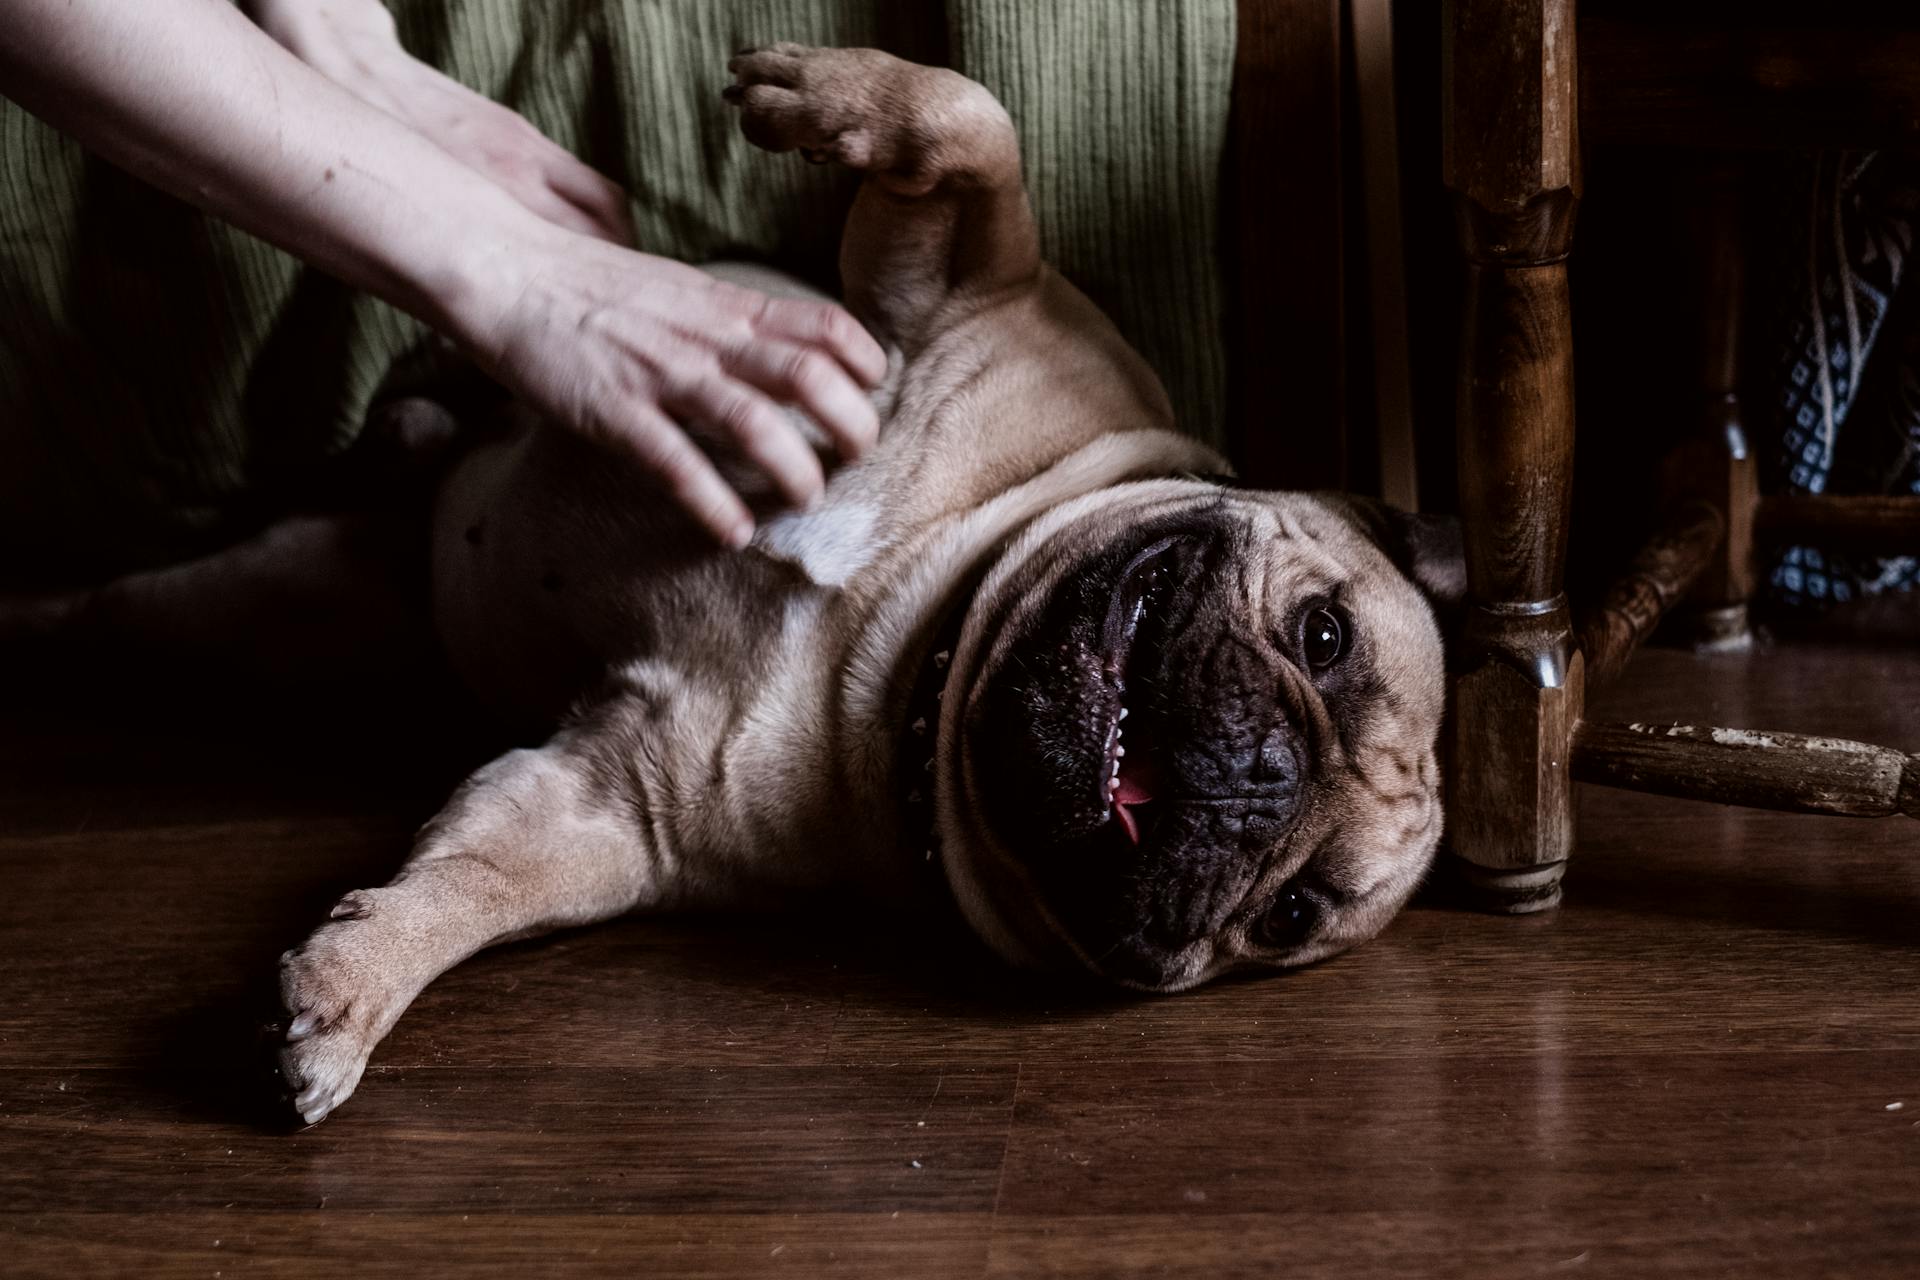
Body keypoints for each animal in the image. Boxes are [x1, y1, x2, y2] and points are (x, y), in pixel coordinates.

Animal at [18, 45, 1466, 1120]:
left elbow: (475, 883)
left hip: (280, 616)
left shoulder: (606, 806)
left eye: (1288, 912)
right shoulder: (976, 292)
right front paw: (818, 92)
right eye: (1323, 635)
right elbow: (972, 126)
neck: (922, 636)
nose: (1258, 778)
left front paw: (350, 989)